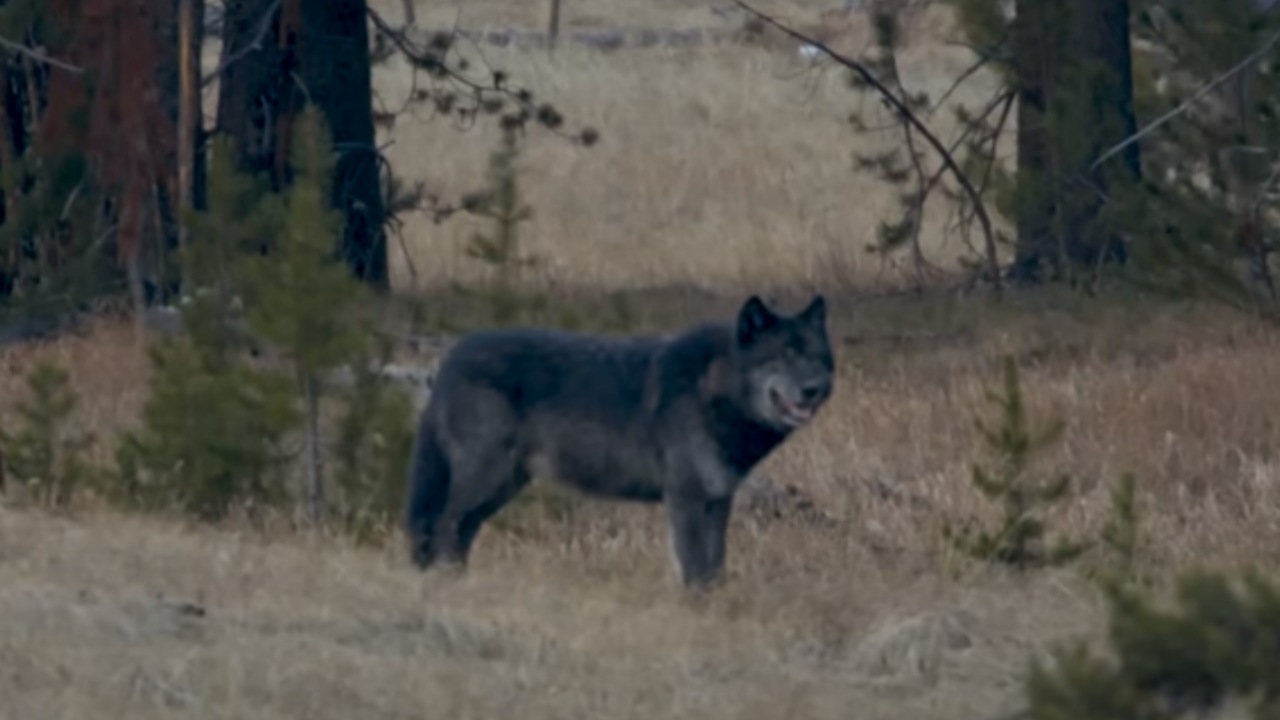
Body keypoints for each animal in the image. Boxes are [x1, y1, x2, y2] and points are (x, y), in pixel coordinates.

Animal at [404, 293, 834, 589]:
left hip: (503, 486)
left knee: (459, 532)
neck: (713, 389)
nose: (813, 389)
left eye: (817, 357)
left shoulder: (718, 500)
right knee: (442, 526)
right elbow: (695, 569)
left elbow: (715, 568)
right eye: (784, 355)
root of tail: (452, 356)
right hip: (486, 479)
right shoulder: (686, 498)